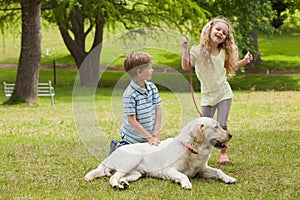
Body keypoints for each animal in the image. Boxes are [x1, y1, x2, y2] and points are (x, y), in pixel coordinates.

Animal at [84, 117, 237, 189]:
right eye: (216, 127)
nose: (230, 135)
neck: (193, 149)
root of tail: (110, 155)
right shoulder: (169, 170)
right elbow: (182, 175)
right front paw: (186, 184)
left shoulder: (202, 169)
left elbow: (218, 170)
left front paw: (228, 178)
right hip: (132, 160)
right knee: (113, 177)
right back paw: (117, 185)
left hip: (136, 173)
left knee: (121, 176)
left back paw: (124, 183)